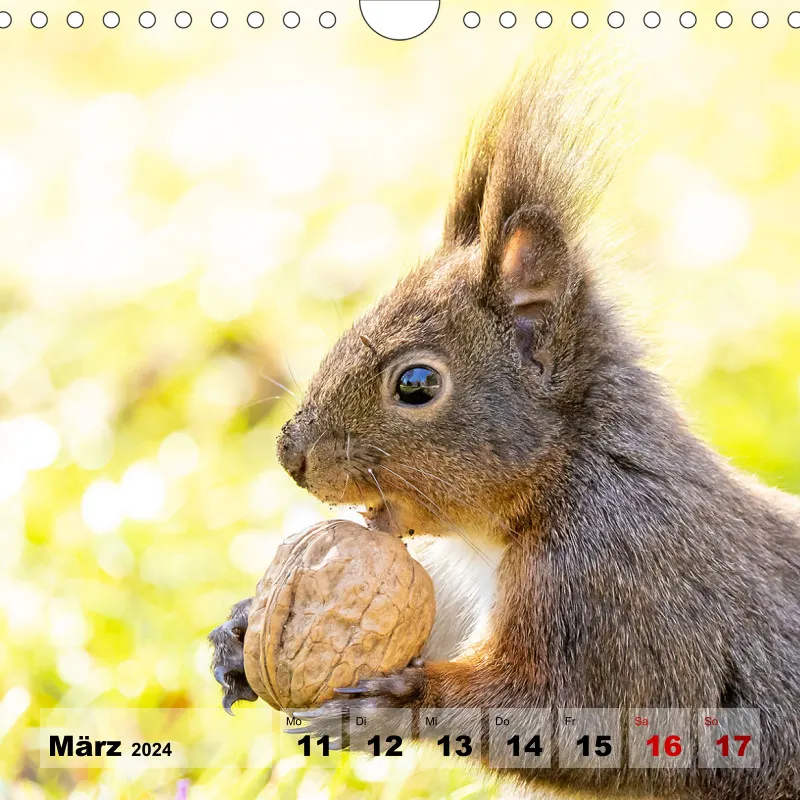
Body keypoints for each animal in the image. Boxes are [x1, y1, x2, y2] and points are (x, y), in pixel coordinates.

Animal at [210, 61, 800, 799]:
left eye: (416, 384)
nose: (291, 455)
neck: (564, 477)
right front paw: (239, 633)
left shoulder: (615, 588)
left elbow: (574, 713)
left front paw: (398, 706)